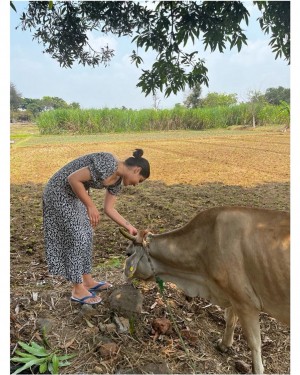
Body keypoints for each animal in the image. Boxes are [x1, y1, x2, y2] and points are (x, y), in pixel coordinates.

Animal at [120, 207, 290, 374]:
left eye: (128, 253)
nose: (124, 274)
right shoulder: (233, 295)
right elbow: (230, 320)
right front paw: (224, 345)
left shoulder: (246, 302)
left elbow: (254, 343)